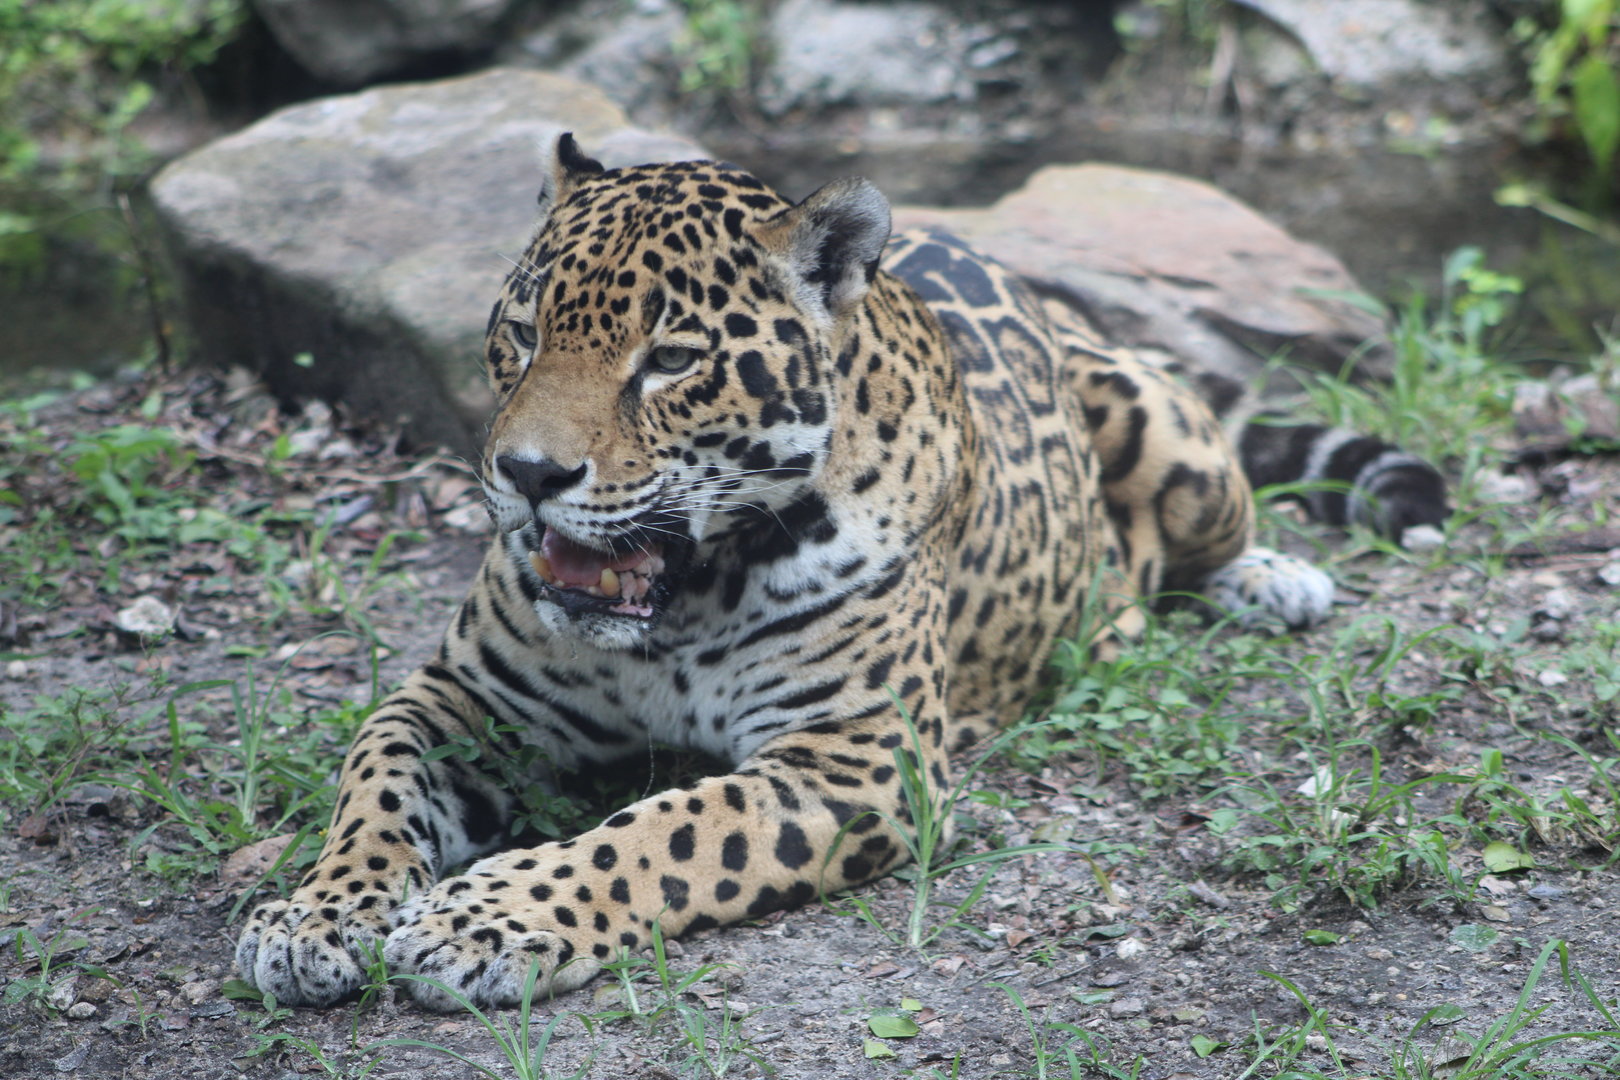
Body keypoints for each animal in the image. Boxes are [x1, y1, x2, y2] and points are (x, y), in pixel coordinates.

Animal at [235, 134, 1447, 1010]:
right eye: (522, 332)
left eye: (670, 360)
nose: (527, 475)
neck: (686, 602)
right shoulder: (459, 697)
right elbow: (374, 788)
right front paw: (312, 916)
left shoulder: (861, 757)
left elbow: (665, 831)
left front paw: (485, 921)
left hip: (1173, 435)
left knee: (1202, 531)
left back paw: (1268, 580)